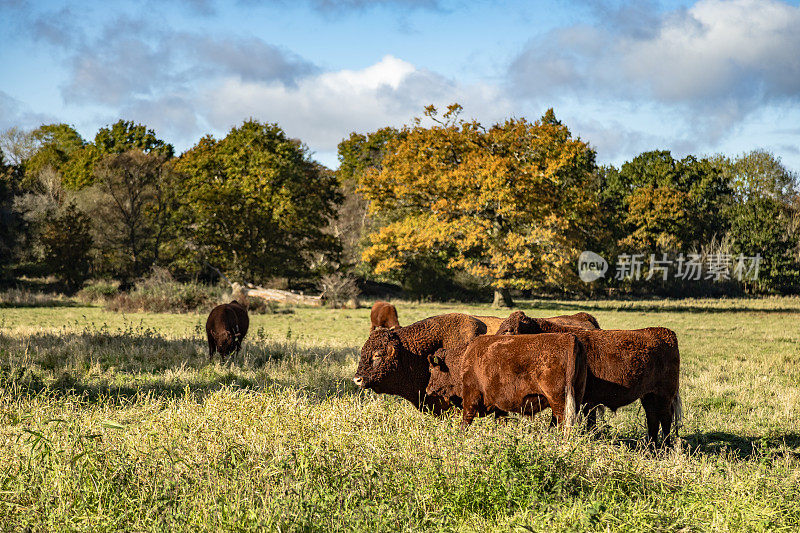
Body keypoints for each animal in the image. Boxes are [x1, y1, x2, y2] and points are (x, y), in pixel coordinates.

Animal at [424, 332, 588, 428]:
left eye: (431, 369)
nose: (428, 389)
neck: (464, 357)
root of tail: (569, 338)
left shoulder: (471, 395)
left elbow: (466, 419)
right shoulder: (499, 406)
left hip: (557, 399)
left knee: (562, 420)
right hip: (576, 394)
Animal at [500, 310, 680, 446]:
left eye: (508, 330)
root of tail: (664, 332)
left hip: (664, 395)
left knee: (665, 419)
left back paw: (665, 448)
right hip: (649, 395)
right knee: (653, 418)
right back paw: (651, 447)